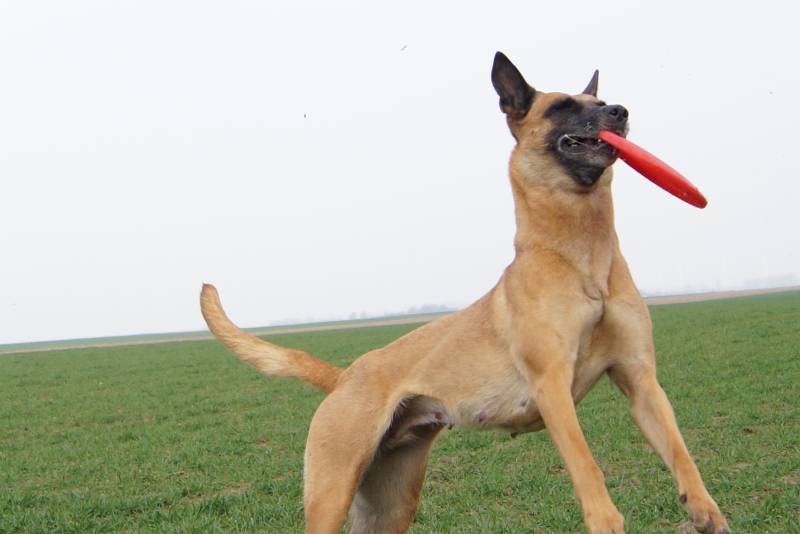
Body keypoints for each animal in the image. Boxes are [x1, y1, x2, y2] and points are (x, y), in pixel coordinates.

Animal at [200, 52, 730, 534]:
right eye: (561, 106)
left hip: (391, 502)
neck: (580, 257)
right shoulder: (552, 385)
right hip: (332, 493)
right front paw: (607, 519)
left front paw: (705, 511)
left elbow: (681, 453)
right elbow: (587, 467)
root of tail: (344, 376)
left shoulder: (640, 379)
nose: (620, 111)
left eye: (600, 102)